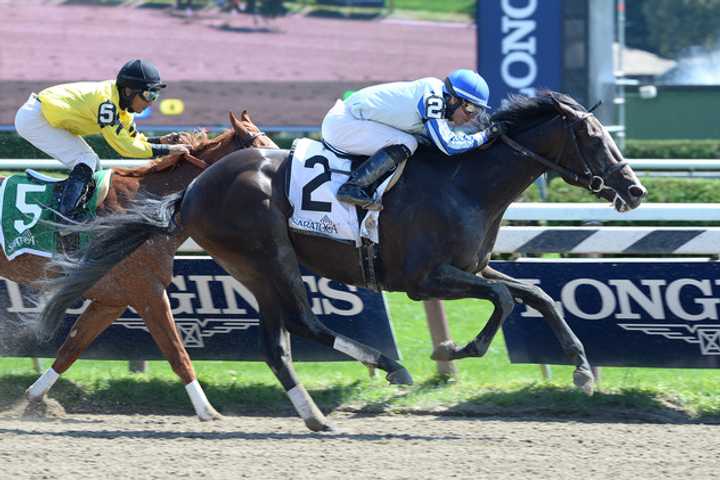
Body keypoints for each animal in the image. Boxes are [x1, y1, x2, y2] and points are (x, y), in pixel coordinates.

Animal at [7, 110, 274, 418]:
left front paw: (36, 398)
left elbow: (71, 348)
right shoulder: (148, 292)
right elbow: (177, 353)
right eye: (263, 151)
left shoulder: (111, 301)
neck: (147, 210)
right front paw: (207, 410)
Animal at [38, 91, 648, 432]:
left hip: (252, 267)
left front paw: (582, 369)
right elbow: (502, 300)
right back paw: (389, 366)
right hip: (268, 254)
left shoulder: (473, 266)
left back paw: (315, 414)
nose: (635, 189)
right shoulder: (428, 279)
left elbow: (536, 294)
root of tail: (193, 189)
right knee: (304, 322)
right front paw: (454, 350)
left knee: (278, 344)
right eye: (594, 138)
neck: (465, 184)